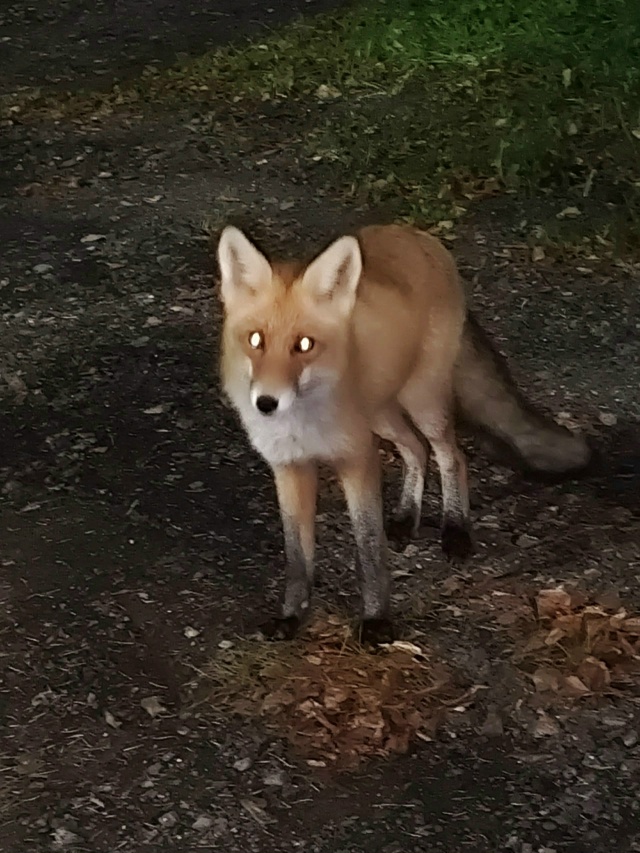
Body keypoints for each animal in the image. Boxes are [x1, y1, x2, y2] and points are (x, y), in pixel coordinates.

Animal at [216, 223, 592, 643]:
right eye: (255, 340)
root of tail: (414, 233)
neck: (303, 423)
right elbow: (298, 557)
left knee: (450, 455)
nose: (266, 403)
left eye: (304, 345)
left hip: (422, 401)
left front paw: (377, 621)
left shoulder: (357, 458)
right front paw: (292, 617)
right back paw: (406, 516)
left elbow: (368, 549)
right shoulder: (290, 468)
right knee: (416, 449)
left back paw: (455, 528)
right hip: (382, 413)